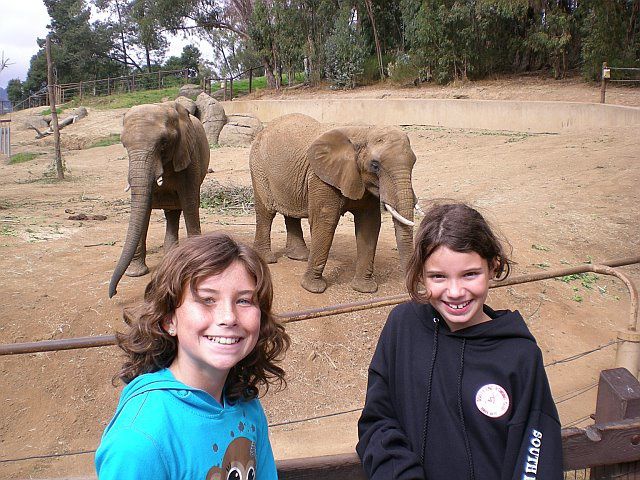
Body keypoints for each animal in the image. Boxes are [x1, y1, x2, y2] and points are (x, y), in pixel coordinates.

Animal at [109, 101, 210, 296]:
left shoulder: (189, 156)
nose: (114, 293)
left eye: (163, 142)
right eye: (124, 144)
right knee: (171, 212)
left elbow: (190, 204)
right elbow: (144, 210)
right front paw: (135, 274)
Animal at [250, 113, 420, 292]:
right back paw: (268, 259)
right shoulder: (320, 178)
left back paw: (300, 257)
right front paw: (314, 289)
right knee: (266, 211)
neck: (363, 131)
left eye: (414, 163)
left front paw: (365, 289)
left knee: (291, 212)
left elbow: (369, 223)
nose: (416, 288)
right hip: (258, 167)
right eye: (375, 165)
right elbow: (325, 221)